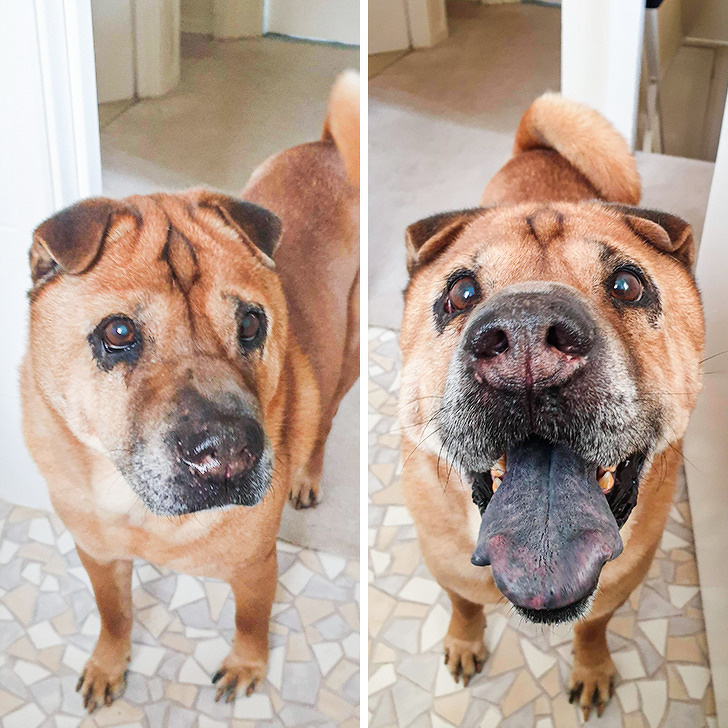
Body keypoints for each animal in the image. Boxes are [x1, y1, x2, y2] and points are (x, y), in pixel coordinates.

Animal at [18, 71, 356, 708]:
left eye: (251, 324)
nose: (228, 454)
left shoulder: (256, 568)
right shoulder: (97, 556)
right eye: (118, 332)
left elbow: (251, 621)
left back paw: (307, 475)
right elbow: (113, 614)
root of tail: (328, 143)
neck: (139, 511)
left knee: (324, 424)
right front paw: (109, 664)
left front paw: (247, 665)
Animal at [398, 94, 704, 720]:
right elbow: (464, 605)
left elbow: (592, 628)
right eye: (461, 293)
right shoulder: (444, 565)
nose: (527, 337)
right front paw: (464, 642)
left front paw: (591, 669)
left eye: (628, 285)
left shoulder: (616, 589)